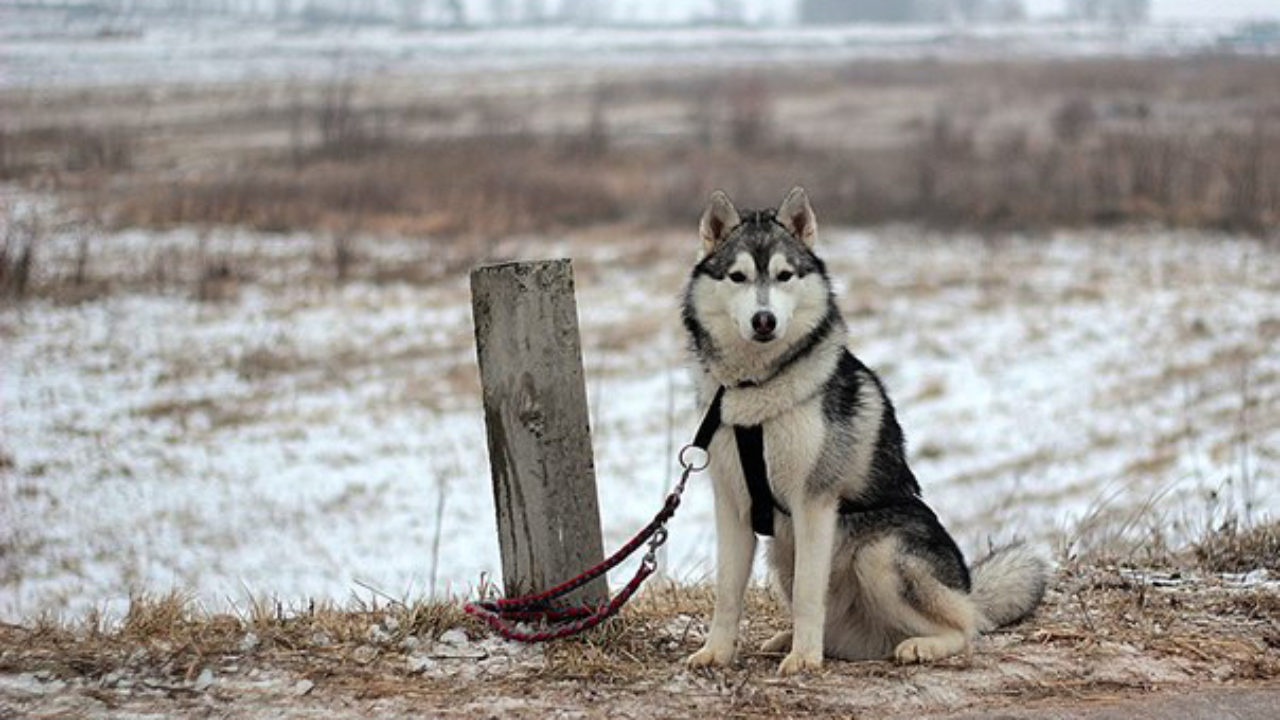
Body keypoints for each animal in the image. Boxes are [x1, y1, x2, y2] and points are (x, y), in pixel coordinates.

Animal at [686, 184, 1044, 671]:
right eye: (738, 277)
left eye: (783, 275)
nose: (764, 320)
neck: (756, 388)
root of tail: (967, 587)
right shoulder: (732, 504)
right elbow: (727, 592)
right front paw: (717, 652)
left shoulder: (813, 504)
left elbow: (807, 594)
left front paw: (804, 660)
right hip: (782, 551)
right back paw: (791, 639)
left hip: (879, 554)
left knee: (968, 626)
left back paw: (919, 645)